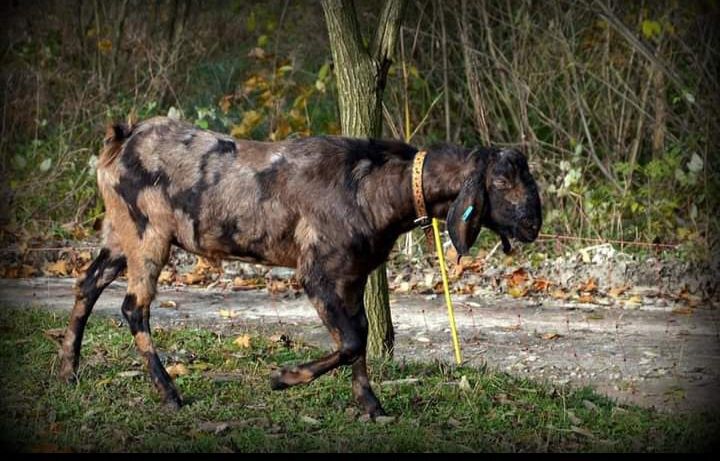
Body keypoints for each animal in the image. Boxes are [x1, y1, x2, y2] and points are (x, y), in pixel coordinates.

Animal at [59, 116, 540, 416]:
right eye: (501, 181)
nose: (534, 223)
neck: (375, 187)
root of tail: (121, 138)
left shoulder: (353, 274)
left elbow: (358, 336)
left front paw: (371, 406)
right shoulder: (318, 272)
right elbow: (350, 341)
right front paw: (283, 378)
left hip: (118, 233)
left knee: (87, 285)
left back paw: (68, 371)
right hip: (147, 234)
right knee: (133, 307)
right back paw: (169, 393)